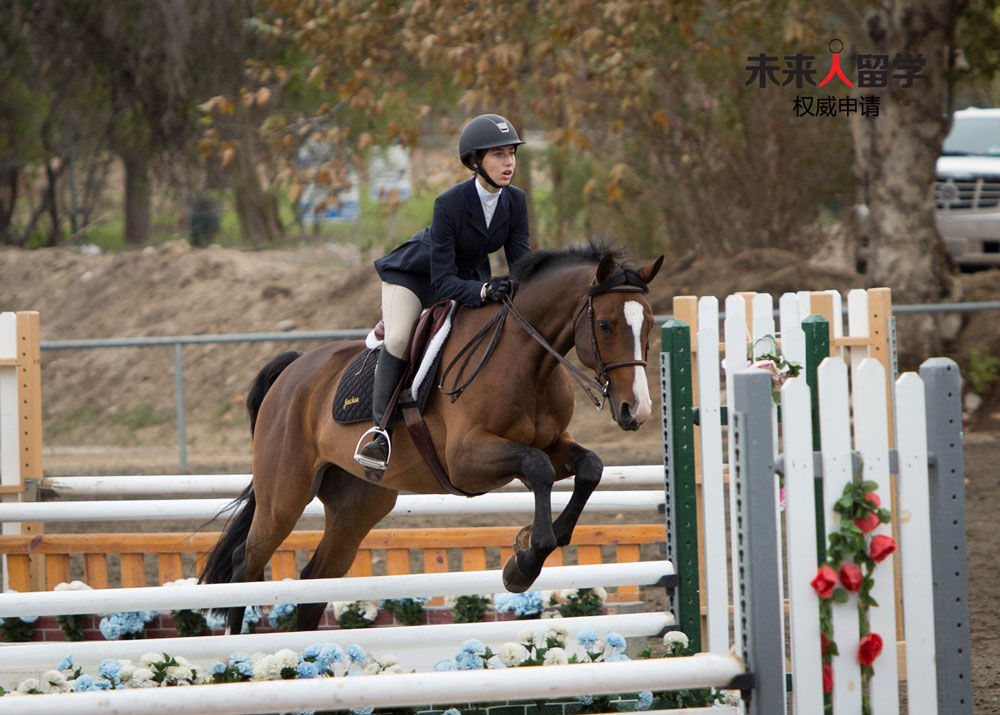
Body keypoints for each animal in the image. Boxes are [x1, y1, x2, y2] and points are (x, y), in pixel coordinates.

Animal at [198, 243, 660, 636]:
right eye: (605, 324)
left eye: (650, 326)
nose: (635, 410)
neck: (527, 362)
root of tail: (293, 369)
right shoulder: (466, 459)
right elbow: (537, 467)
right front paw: (526, 559)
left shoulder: (552, 443)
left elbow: (588, 467)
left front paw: (529, 548)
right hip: (284, 495)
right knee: (245, 563)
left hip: (357, 504)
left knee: (314, 582)